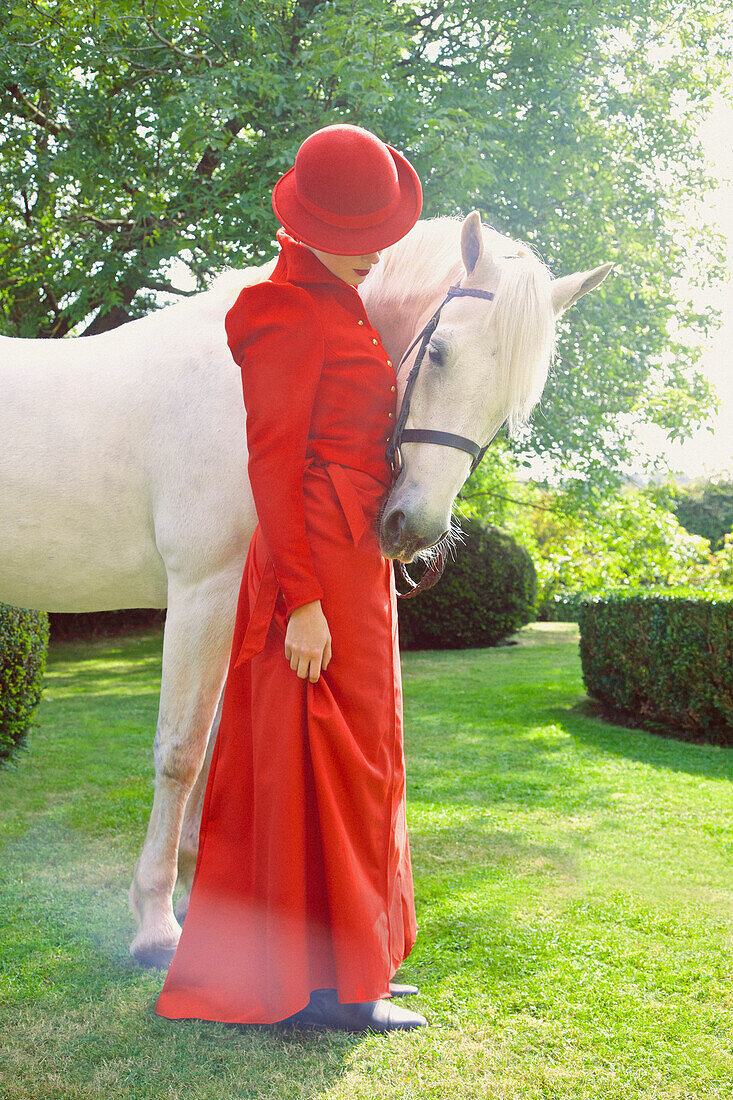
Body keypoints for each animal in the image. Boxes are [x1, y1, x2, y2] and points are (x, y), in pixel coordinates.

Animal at [0, 212, 607, 963]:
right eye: (438, 352)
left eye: (510, 407)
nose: (414, 527)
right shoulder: (203, 592)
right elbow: (182, 752)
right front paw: (155, 923)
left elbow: (212, 744)